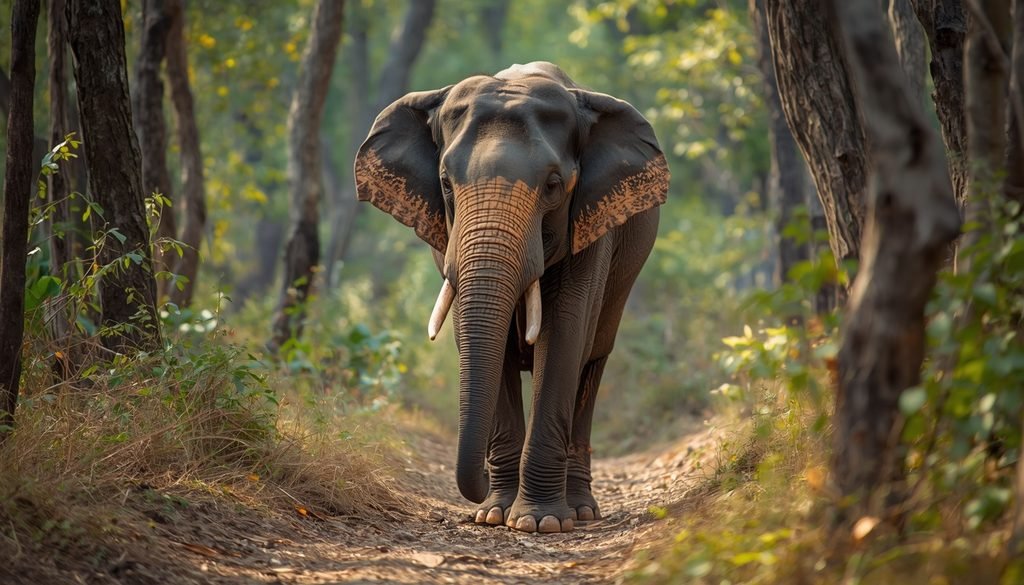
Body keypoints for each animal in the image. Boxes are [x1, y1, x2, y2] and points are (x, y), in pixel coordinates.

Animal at [354, 61, 670, 533]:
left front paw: (541, 523)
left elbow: (563, 335)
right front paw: (493, 515)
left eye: (554, 185)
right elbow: (481, 338)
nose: (479, 482)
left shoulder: (591, 226)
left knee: (592, 361)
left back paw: (580, 510)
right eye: (445, 183)